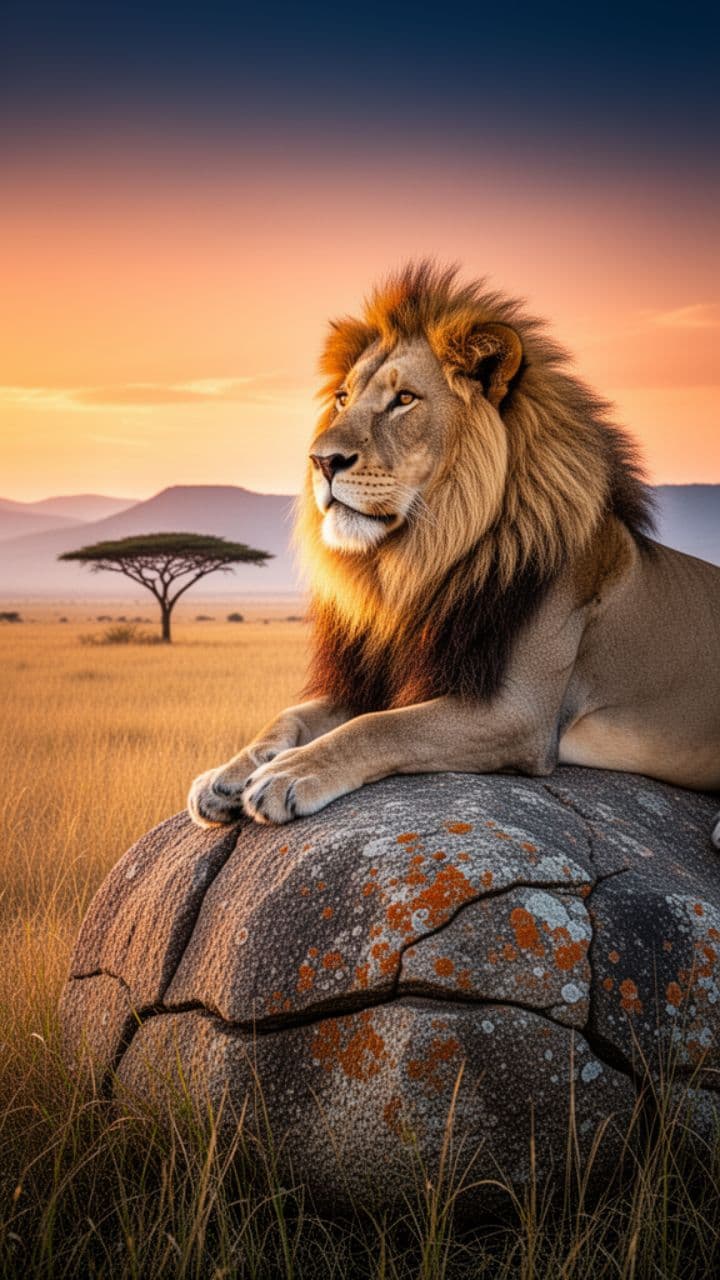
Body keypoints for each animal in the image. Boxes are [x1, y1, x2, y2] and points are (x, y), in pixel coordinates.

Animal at [188, 262, 720, 842]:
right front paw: (228, 774)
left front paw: (288, 773)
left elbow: (380, 728)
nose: (321, 461)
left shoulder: (517, 713)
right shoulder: (394, 674)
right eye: (343, 398)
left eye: (404, 400)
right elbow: (294, 714)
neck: (426, 563)